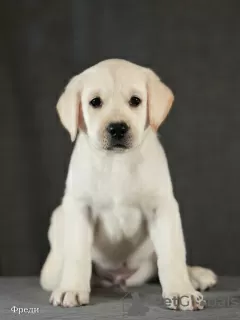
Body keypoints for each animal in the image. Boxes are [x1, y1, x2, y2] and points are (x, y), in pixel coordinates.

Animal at [39, 59, 218, 310]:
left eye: (135, 101)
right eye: (95, 102)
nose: (117, 128)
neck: (117, 162)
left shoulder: (162, 207)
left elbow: (172, 254)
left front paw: (182, 292)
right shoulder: (79, 206)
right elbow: (77, 253)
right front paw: (72, 289)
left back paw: (195, 275)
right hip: (57, 232)